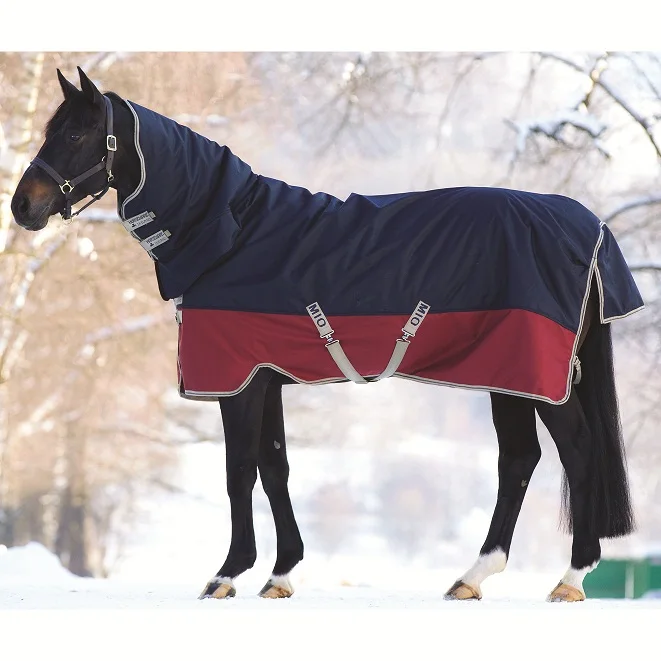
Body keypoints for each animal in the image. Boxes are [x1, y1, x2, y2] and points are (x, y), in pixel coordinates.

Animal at [11, 67, 644, 602]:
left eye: (77, 133)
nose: (23, 206)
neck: (231, 236)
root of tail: (587, 225)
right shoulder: (266, 378)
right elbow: (275, 469)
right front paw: (281, 574)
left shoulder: (237, 382)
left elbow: (239, 471)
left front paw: (227, 574)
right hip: (505, 374)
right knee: (518, 460)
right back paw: (472, 577)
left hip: (535, 376)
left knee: (577, 450)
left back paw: (571, 577)